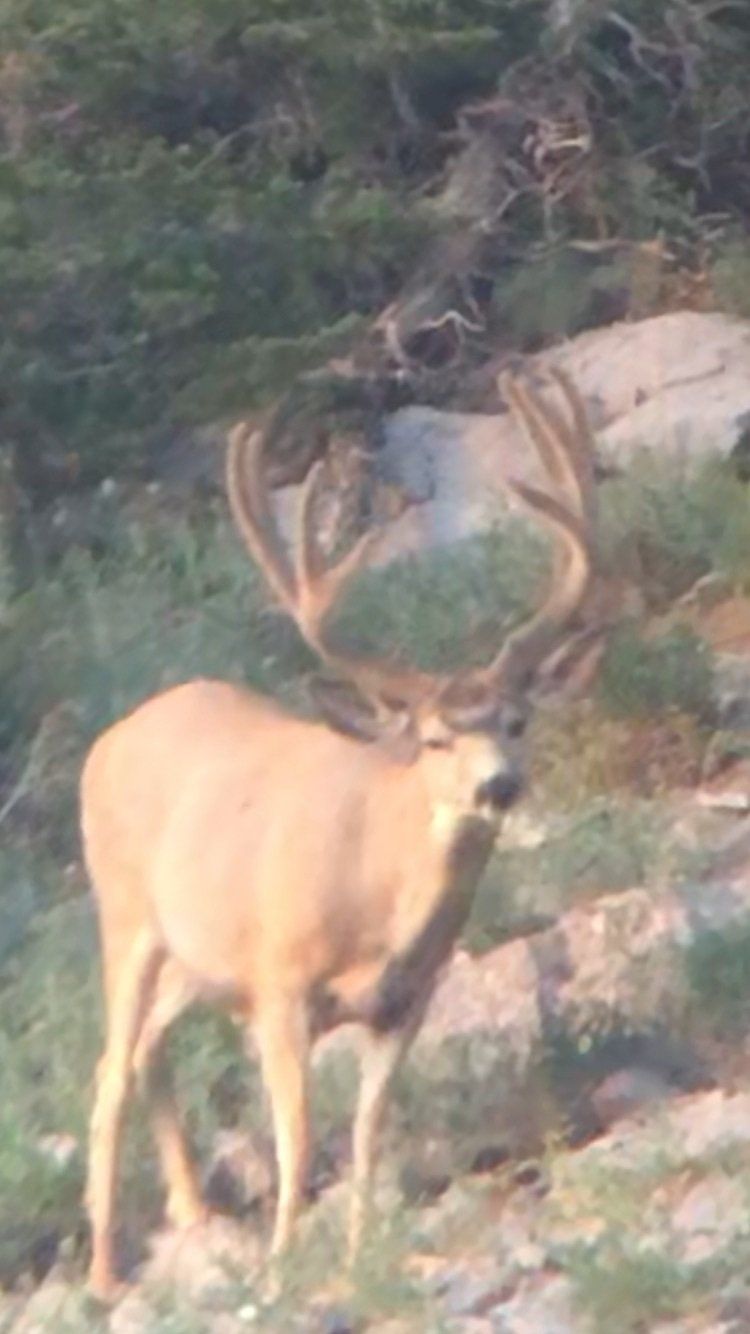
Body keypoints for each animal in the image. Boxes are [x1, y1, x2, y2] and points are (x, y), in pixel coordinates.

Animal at [81, 369, 598, 1301]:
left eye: (518, 720)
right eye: (434, 738)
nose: (500, 785)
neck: (376, 900)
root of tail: (115, 734)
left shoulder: (404, 1002)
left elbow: (365, 1132)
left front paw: (362, 1254)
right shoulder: (281, 988)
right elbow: (297, 1135)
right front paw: (286, 1266)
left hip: (197, 960)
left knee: (149, 1052)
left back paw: (194, 1213)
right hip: (127, 916)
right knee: (109, 1072)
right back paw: (104, 1273)